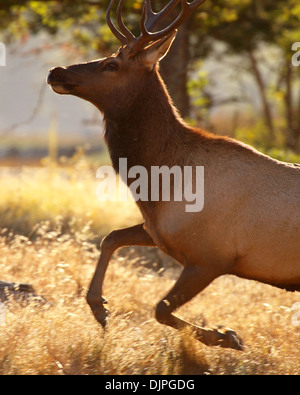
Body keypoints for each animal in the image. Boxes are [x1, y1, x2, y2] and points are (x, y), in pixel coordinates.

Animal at [47, 0, 300, 352]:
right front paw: (99, 308)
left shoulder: (212, 257)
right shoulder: (158, 233)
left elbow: (161, 310)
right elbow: (111, 237)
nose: (56, 71)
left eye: (111, 64)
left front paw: (228, 336)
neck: (162, 187)